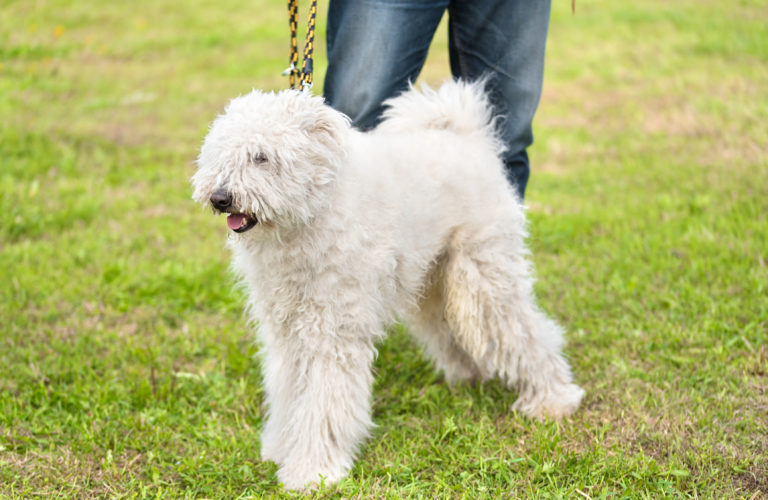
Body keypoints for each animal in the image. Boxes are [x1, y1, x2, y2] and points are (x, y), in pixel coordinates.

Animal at [190, 80, 584, 490]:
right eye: (219, 154)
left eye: (261, 157)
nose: (220, 197)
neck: (312, 214)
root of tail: (465, 135)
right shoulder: (286, 333)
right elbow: (288, 392)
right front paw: (280, 446)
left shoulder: (332, 333)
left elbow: (322, 404)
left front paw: (312, 471)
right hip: (434, 285)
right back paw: (471, 377)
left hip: (483, 281)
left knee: (528, 333)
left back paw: (553, 400)